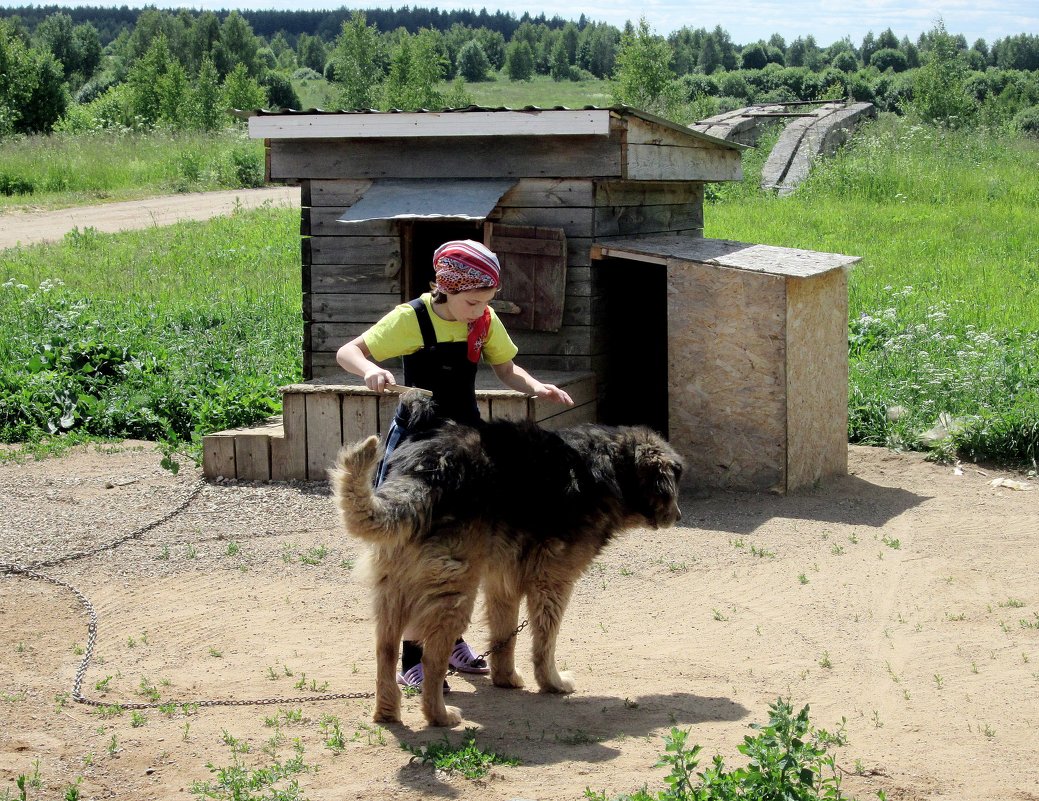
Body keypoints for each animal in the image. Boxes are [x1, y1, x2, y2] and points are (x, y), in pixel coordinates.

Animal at [330, 394, 681, 727]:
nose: (678, 516)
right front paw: (552, 683)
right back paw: (439, 715)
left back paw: (387, 712)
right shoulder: (552, 583)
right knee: (432, 661)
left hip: (393, 594)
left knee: (385, 654)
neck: (613, 465)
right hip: (455, 595)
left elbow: (504, 638)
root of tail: (427, 472)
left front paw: (506, 679)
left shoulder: (503, 582)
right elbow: (545, 642)